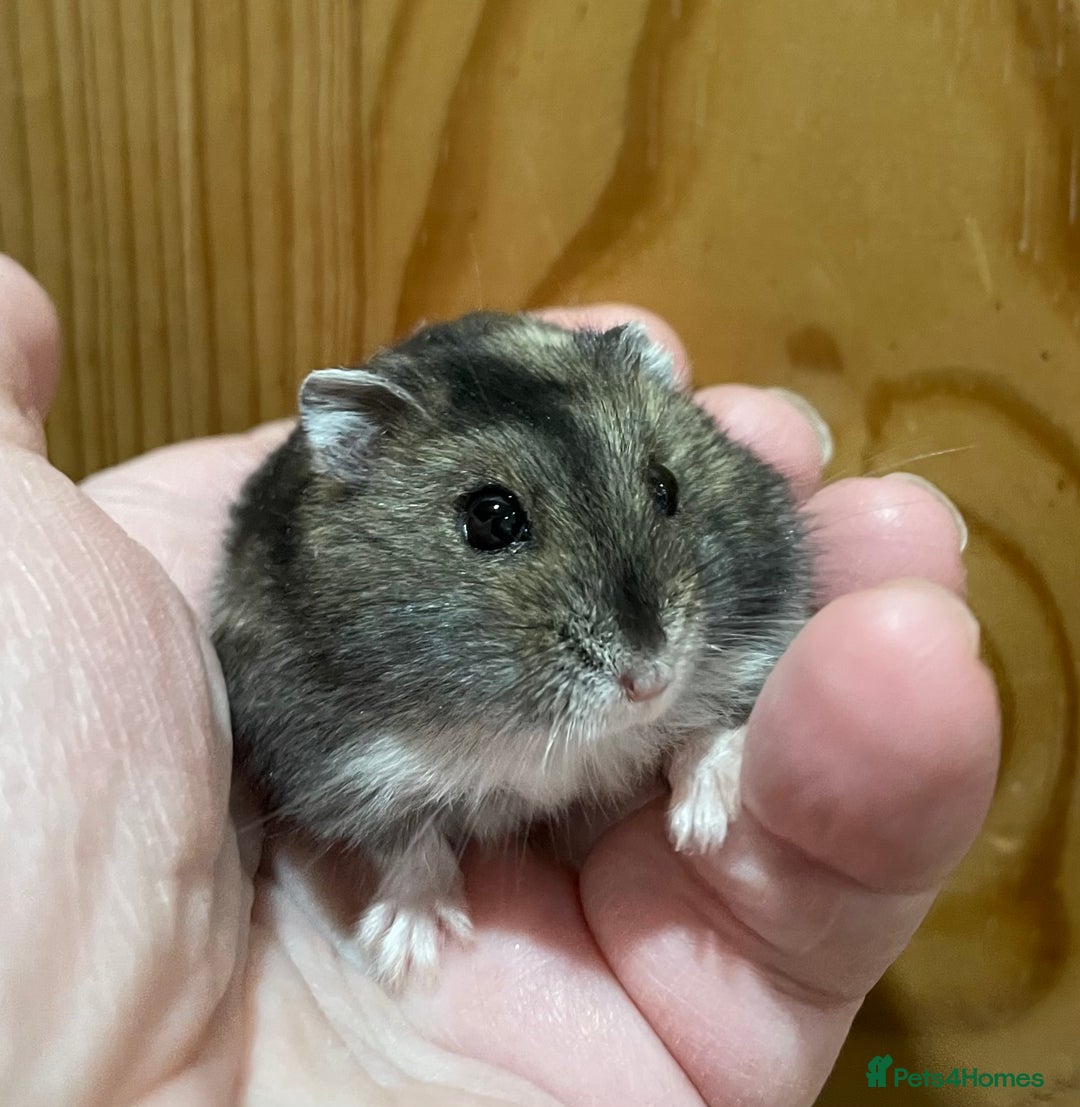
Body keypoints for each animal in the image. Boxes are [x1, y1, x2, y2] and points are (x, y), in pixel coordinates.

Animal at [211, 311, 813, 988]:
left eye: (666, 486)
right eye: (491, 518)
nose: (651, 682)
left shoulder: (765, 630)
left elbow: (713, 731)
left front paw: (701, 833)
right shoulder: (332, 766)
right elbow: (407, 840)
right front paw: (408, 953)